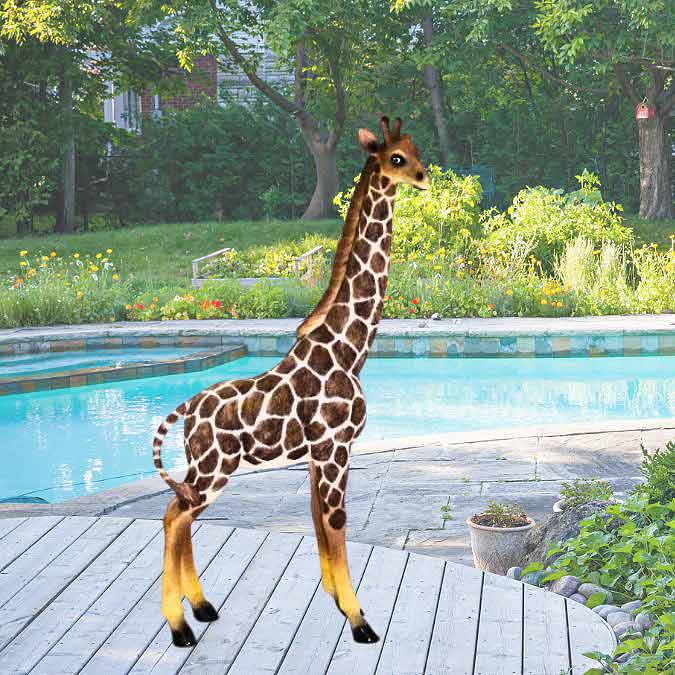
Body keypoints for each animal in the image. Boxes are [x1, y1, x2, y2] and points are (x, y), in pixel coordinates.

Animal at [153, 116, 429, 648]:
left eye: (417, 151)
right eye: (397, 158)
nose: (425, 177)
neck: (351, 350)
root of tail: (185, 412)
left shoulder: (320, 454)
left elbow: (319, 521)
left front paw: (338, 603)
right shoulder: (335, 447)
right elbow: (336, 522)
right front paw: (360, 622)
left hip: (207, 470)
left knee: (177, 513)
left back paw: (202, 609)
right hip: (214, 468)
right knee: (175, 516)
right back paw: (180, 628)